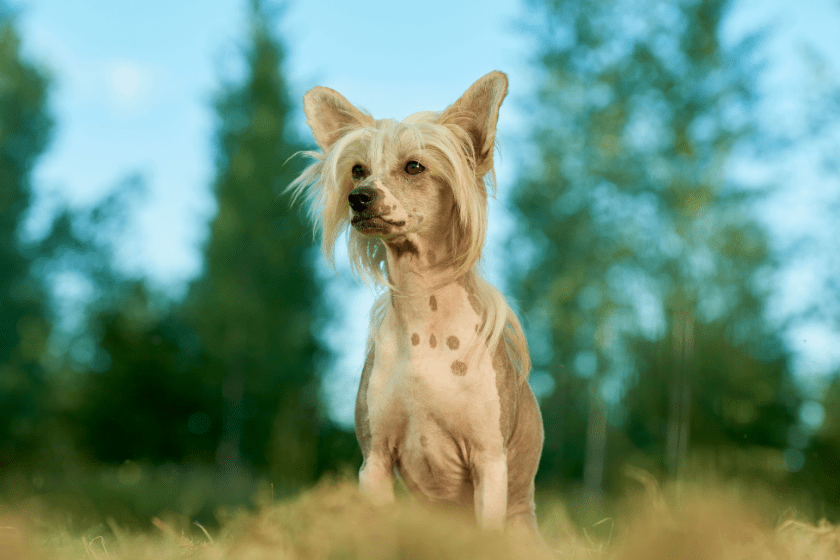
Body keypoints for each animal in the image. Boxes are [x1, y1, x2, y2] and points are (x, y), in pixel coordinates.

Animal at [290, 70, 544, 544]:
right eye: (357, 170)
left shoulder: (489, 463)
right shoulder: (374, 461)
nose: (358, 197)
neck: (424, 318)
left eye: (414, 167)